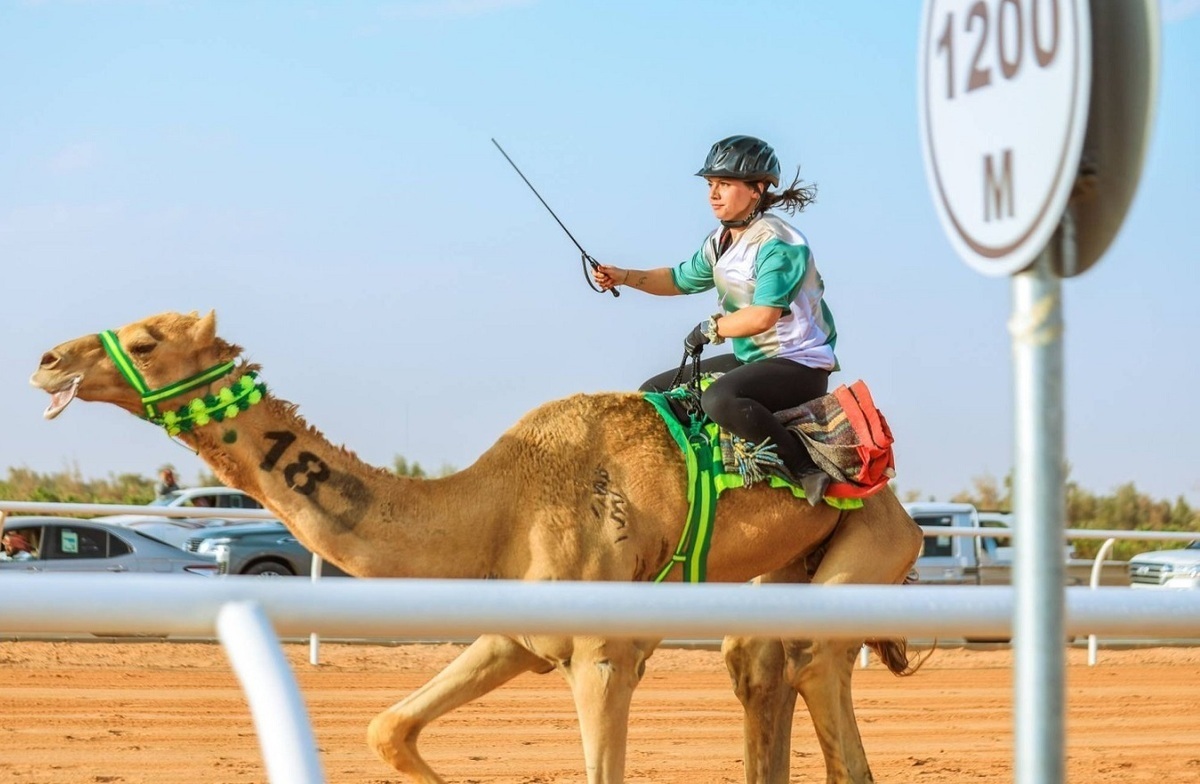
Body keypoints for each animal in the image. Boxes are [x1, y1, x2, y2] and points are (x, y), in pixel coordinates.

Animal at [32, 309, 921, 777]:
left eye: (144, 341)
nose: (46, 358)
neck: (496, 502)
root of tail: (901, 501)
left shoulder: (603, 653)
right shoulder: (516, 634)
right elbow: (388, 729)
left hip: (873, 543)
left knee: (812, 660)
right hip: (782, 565)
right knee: (760, 662)